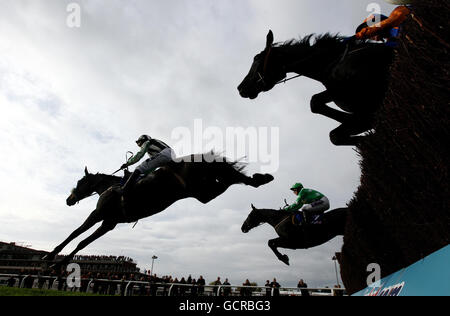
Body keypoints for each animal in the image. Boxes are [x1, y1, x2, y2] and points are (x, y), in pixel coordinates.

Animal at [44, 153, 274, 266]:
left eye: (80, 181)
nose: (69, 199)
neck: (111, 187)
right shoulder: (109, 223)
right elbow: (81, 239)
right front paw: (56, 260)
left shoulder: (100, 215)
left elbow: (77, 236)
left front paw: (54, 260)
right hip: (202, 191)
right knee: (230, 179)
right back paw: (260, 179)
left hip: (200, 186)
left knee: (226, 181)